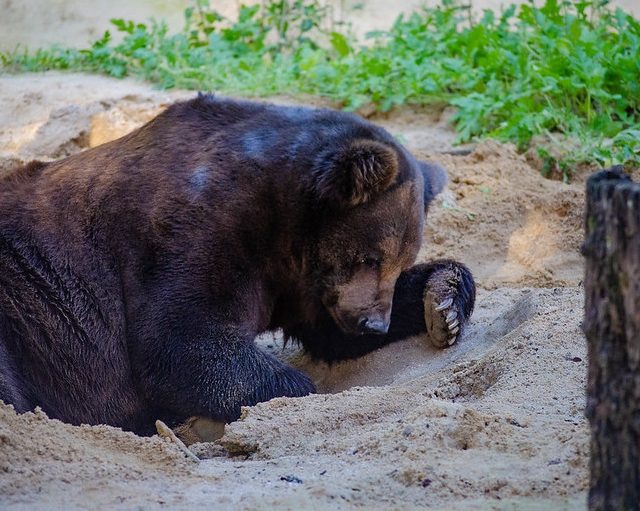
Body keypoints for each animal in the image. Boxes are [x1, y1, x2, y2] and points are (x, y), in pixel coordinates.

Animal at [0, 95, 475, 435]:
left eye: (399, 262)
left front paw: (444, 303)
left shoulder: (301, 286)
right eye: (370, 257)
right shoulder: (197, 229)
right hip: (25, 314)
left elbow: (328, 335)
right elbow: (179, 339)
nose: (373, 323)